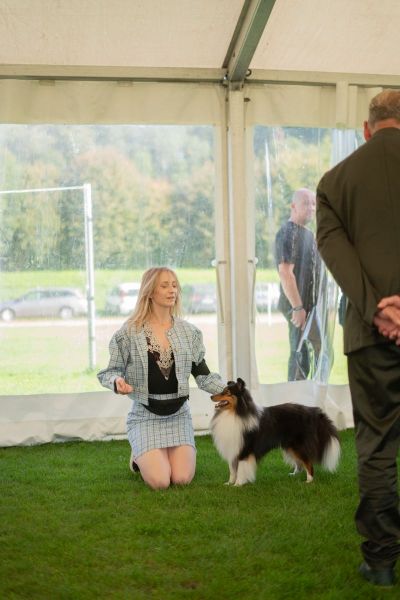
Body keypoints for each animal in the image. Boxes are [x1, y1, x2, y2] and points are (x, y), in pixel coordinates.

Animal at [210, 378, 340, 486]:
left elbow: (241, 468)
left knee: (308, 463)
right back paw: (294, 474)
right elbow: (232, 470)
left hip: (298, 445)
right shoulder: (233, 448)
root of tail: (313, 412)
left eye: (227, 392)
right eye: (222, 390)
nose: (211, 397)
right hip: (290, 446)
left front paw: (238, 484)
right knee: (300, 462)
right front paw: (229, 483)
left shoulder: (244, 449)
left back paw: (308, 481)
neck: (236, 413)